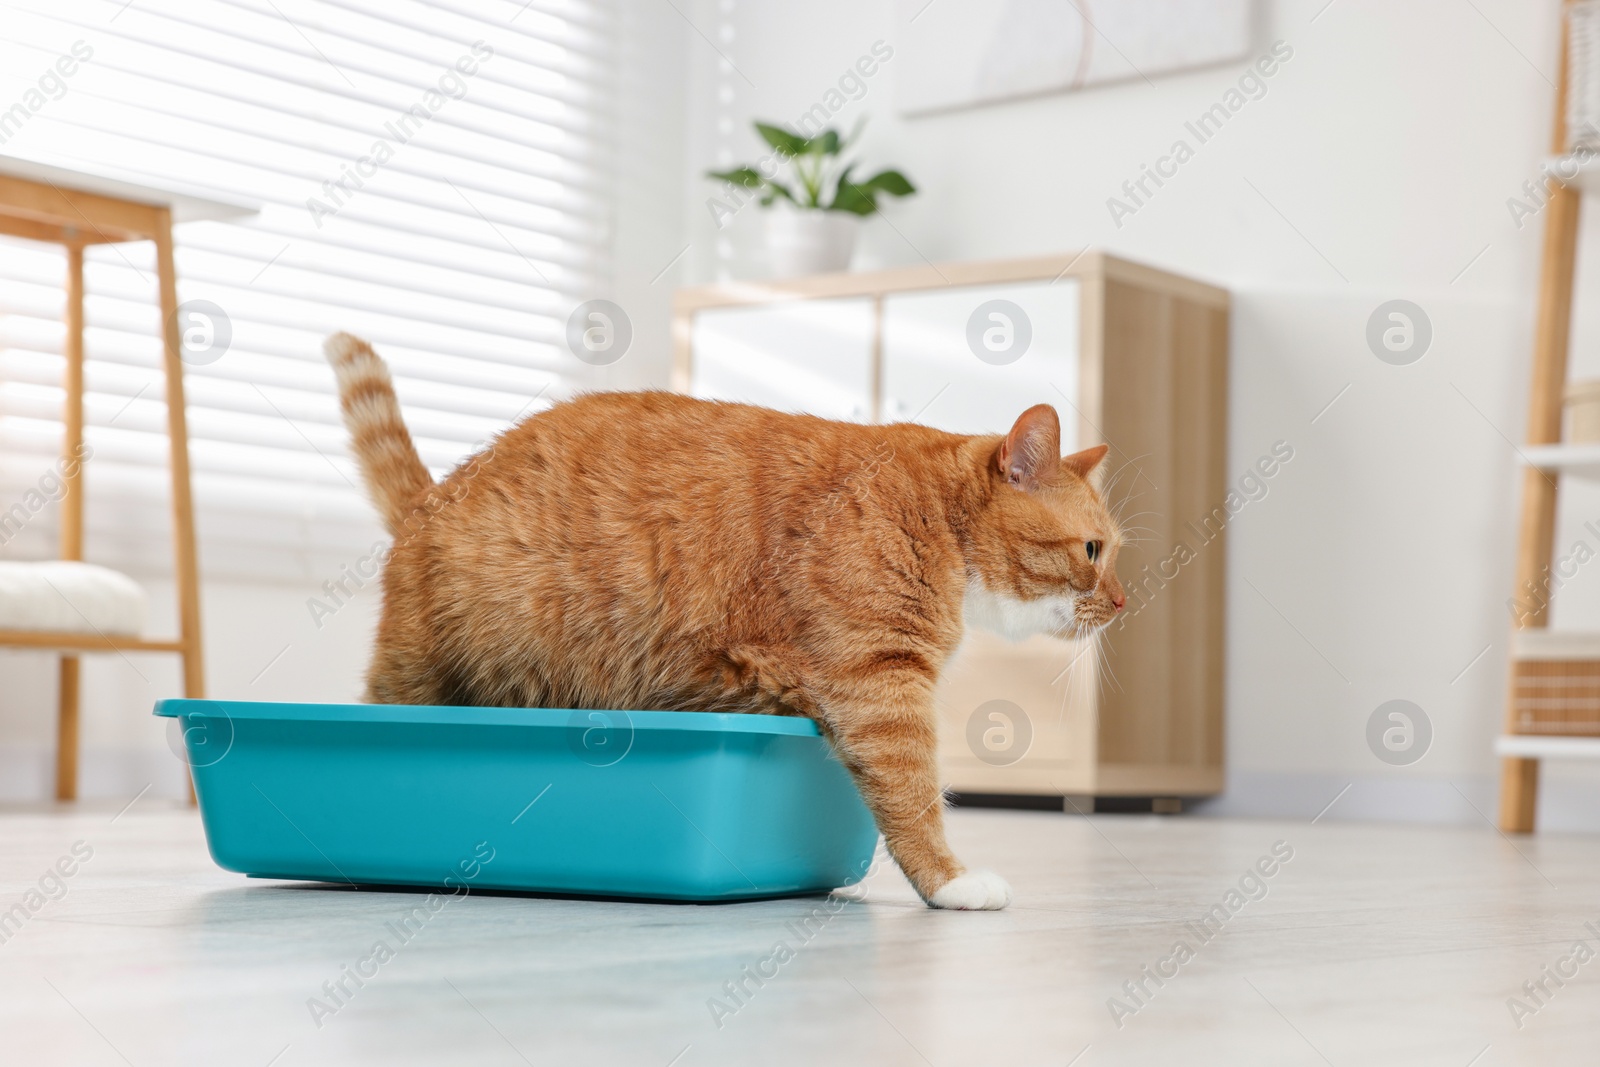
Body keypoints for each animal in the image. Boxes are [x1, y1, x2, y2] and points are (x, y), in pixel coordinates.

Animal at [324, 331, 1126, 908]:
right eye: (1092, 550)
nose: (1122, 601)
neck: (931, 512)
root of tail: (434, 495)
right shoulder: (881, 684)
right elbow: (915, 795)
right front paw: (951, 881)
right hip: (412, 676)